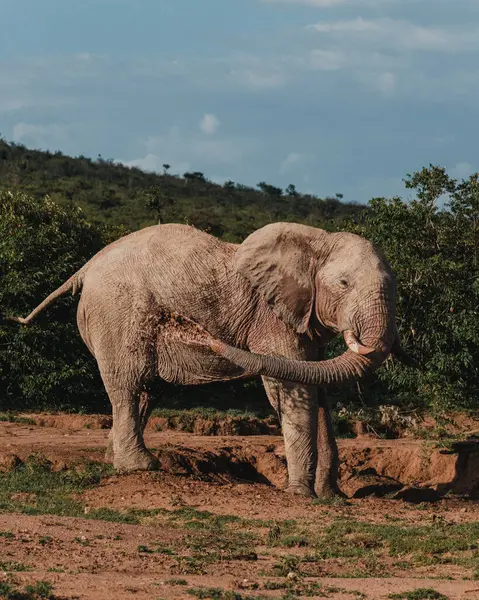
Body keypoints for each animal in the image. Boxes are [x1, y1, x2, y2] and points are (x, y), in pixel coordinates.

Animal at [11, 223, 416, 500]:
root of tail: (84, 269)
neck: (316, 242)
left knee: (146, 391)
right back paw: (141, 467)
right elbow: (293, 388)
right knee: (128, 384)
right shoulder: (271, 319)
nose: (184, 324)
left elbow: (318, 389)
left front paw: (333, 497)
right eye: (345, 284)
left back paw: (117, 461)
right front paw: (301, 495)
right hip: (116, 312)